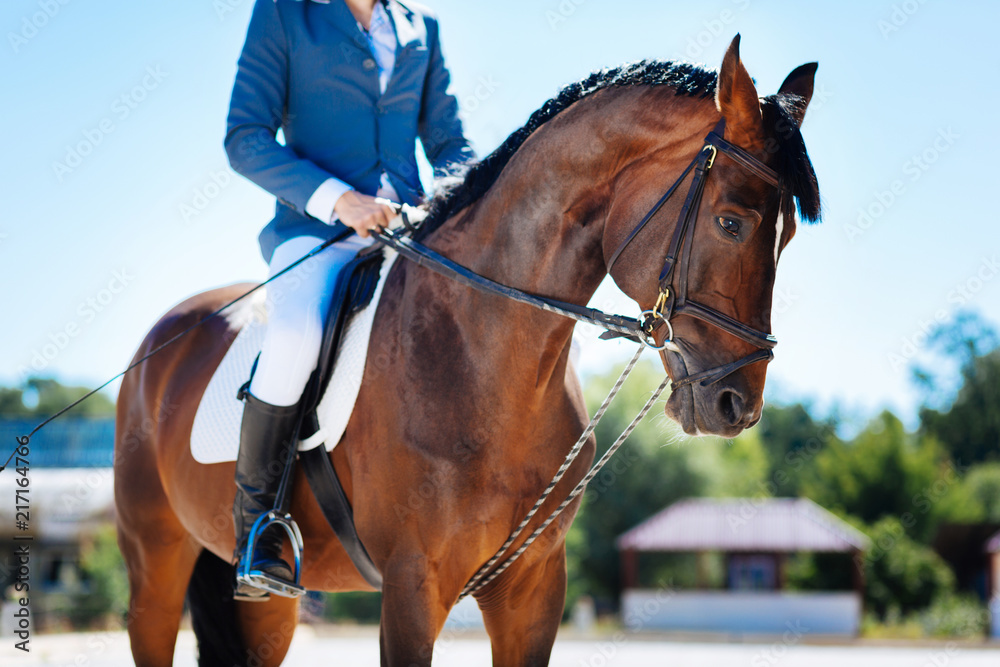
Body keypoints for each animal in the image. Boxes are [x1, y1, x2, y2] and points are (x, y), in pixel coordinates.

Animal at [114, 35, 820, 666]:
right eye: (731, 222)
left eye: (787, 237)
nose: (737, 405)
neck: (486, 361)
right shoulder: (412, 585)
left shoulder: (532, 586)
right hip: (155, 566)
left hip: (268, 605)